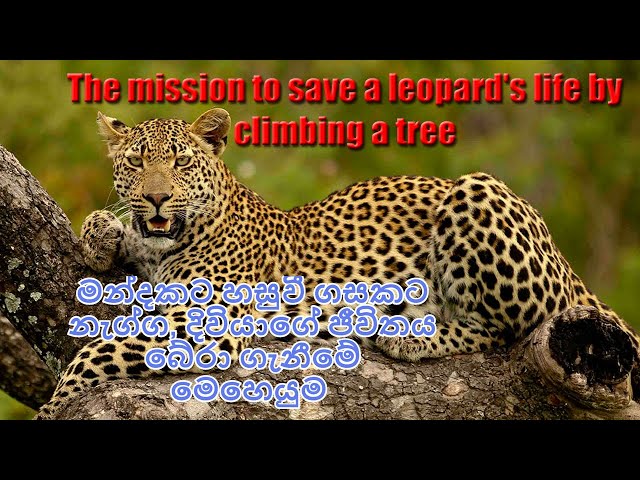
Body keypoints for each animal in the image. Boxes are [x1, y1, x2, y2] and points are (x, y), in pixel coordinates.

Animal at [36, 108, 640, 418]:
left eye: (181, 163)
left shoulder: (207, 318)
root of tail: (568, 264)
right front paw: (103, 233)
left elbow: (93, 355)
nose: (157, 198)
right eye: (137, 163)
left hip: (479, 191)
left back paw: (407, 334)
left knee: (504, 325)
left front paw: (54, 407)